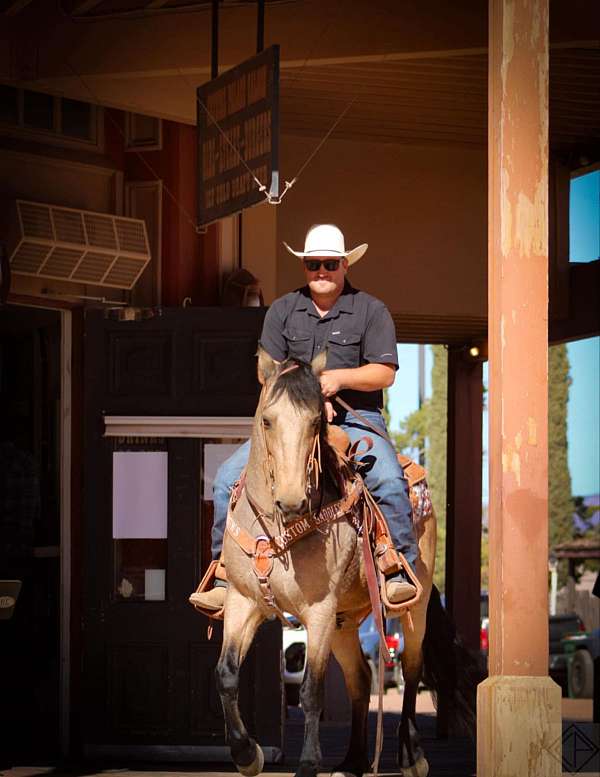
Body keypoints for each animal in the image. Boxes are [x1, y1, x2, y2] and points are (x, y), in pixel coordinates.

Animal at [209, 350, 476, 776]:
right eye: (267, 419)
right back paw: (352, 761)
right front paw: (246, 754)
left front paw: (307, 764)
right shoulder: (243, 602)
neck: (278, 529)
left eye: (316, 421)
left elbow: (311, 691)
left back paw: (411, 755)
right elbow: (226, 675)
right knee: (360, 678)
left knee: (412, 670)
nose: (292, 501)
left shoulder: (317, 611)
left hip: (411, 609)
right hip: (344, 622)